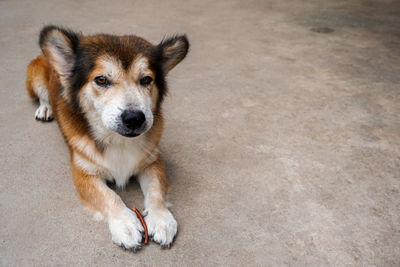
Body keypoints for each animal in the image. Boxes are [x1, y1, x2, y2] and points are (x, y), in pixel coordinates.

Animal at [25, 26, 190, 252]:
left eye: (146, 80)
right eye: (101, 80)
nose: (134, 118)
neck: (117, 140)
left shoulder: (152, 160)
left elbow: (156, 191)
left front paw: (162, 219)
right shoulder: (84, 172)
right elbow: (109, 196)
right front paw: (126, 224)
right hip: (34, 78)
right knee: (42, 96)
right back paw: (45, 108)